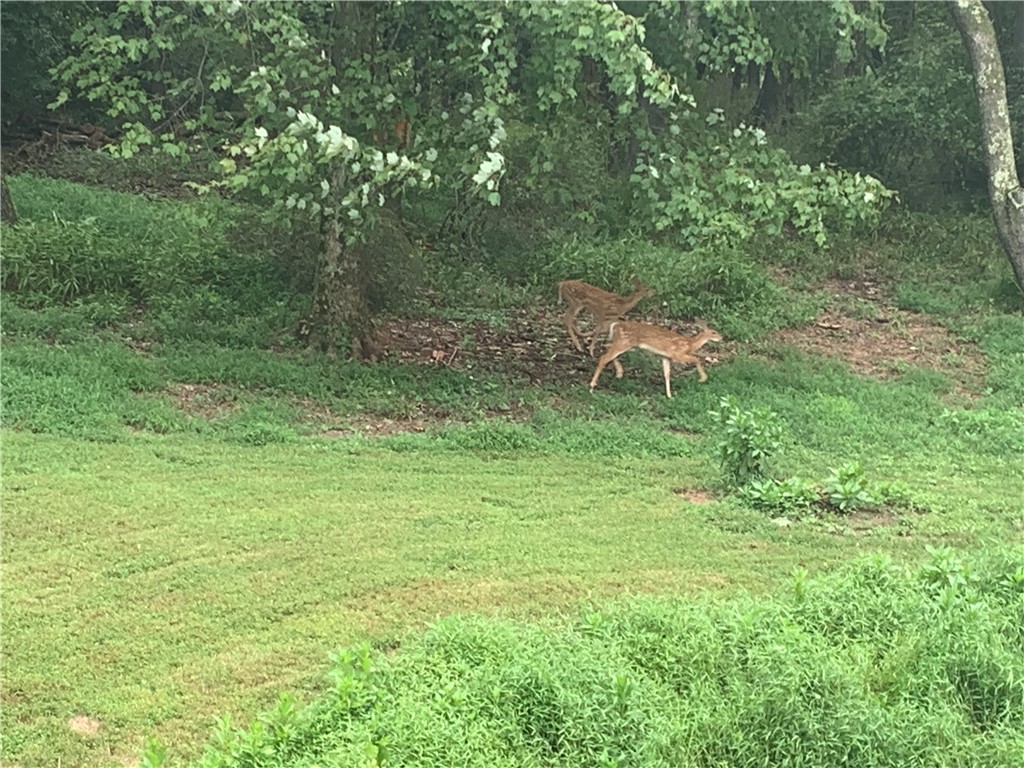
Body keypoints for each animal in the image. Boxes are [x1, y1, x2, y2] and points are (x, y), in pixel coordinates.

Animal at [589, 321, 724, 399]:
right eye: (714, 332)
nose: (721, 338)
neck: (689, 344)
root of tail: (615, 325)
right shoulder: (677, 354)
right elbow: (696, 359)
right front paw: (703, 378)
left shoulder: (666, 356)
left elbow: (667, 374)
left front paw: (669, 395)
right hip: (623, 342)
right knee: (604, 357)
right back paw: (592, 385)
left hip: (622, 343)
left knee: (605, 349)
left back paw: (619, 372)